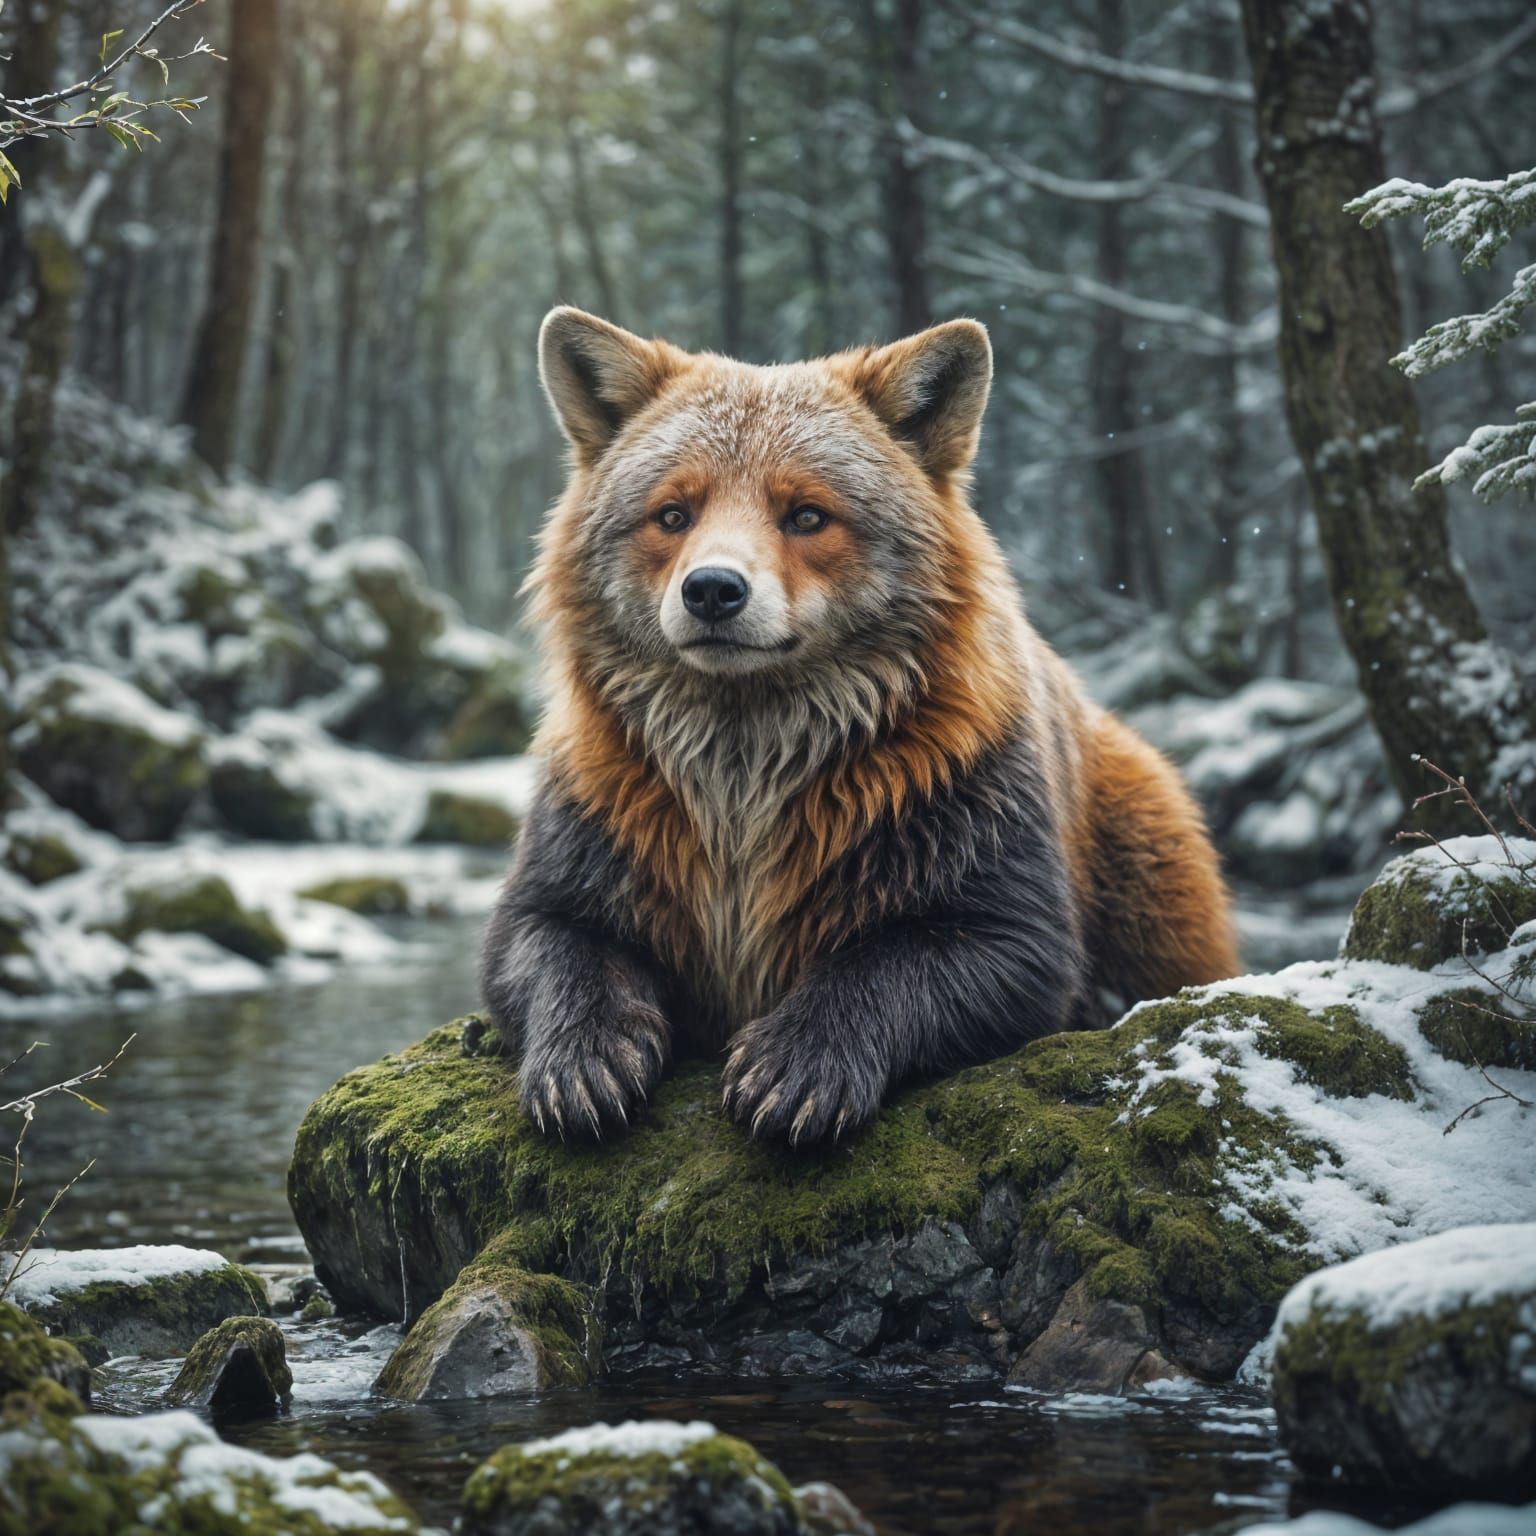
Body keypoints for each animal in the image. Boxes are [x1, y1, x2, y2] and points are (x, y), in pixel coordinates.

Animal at [480, 306, 1239, 1146]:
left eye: (807, 514)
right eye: (672, 514)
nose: (713, 590)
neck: (742, 789)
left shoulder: (983, 864)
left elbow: (895, 960)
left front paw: (800, 1062)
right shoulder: (595, 836)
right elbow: (560, 948)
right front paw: (583, 1060)